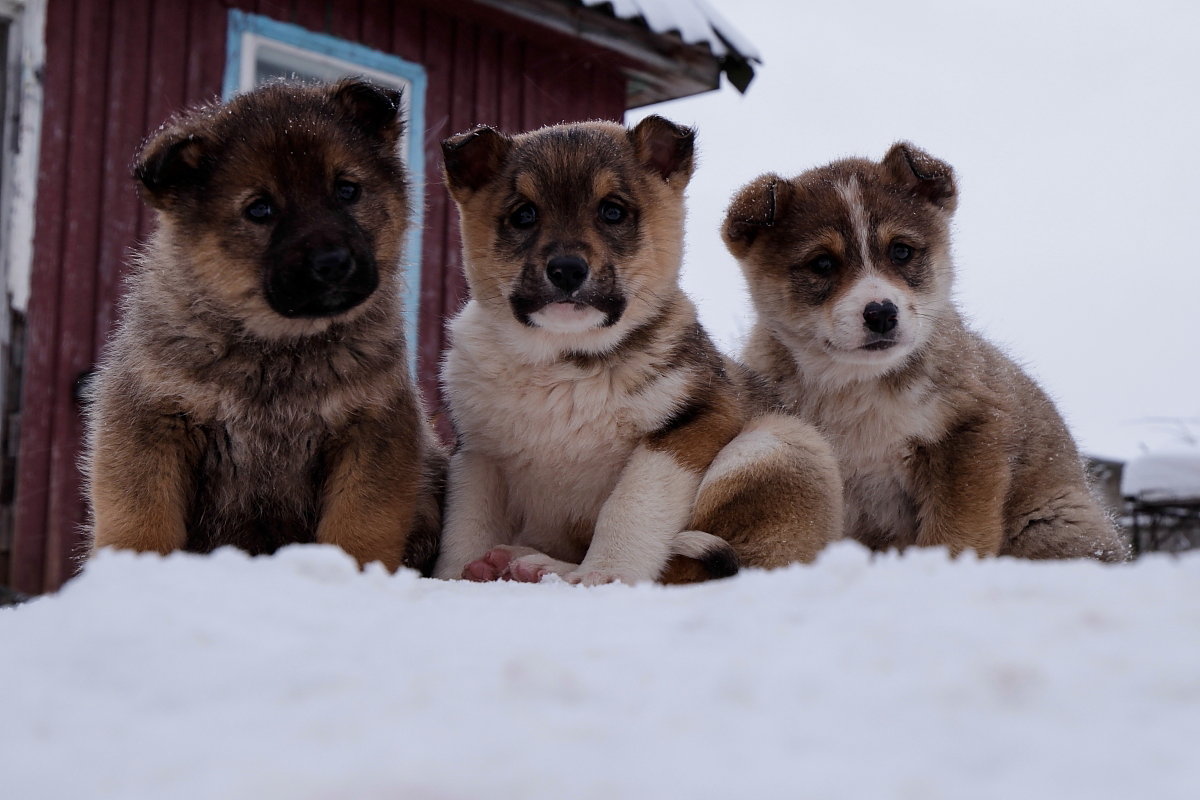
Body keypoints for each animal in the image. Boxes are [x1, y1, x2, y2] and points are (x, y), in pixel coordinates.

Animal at [83, 77, 446, 573]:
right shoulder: (149, 423)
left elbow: (359, 527)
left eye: (347, 190)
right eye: (259, 209)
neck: (276, 350)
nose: (333, 263)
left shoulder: (371, 431)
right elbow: (141, 521)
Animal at [434, 115, 844, 585]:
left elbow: (631, 505)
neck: (564, 362)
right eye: (524, 215)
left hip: (774, 444)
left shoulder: (690, 424)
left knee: (692, 568)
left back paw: (543, 567)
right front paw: (454, 578)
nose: (567, 270)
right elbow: (467, 525)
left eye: (612, 211)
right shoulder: (478, 454)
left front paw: (604, 575)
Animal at [724, 140, 1128, 561]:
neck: (858, 387)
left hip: (1050, 524)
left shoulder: (969, 438)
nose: (881, 313)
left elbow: (955, 534)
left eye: (901, 251)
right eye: (822, 263)